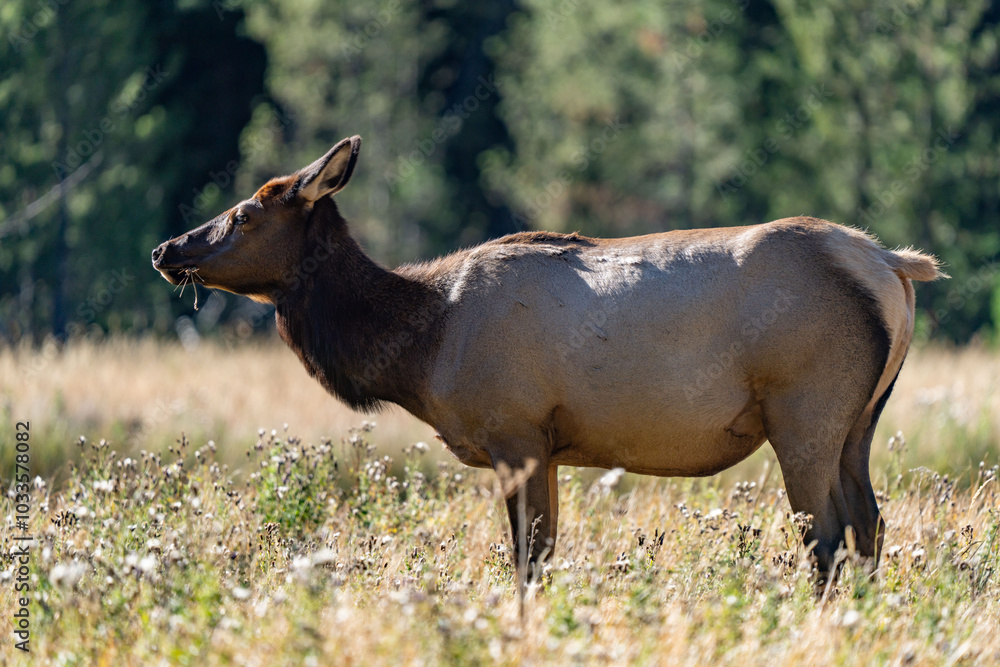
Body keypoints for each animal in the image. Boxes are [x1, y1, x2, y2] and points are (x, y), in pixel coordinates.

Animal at [152, 135, 944, 584]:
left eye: (245, 213)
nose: (167, 248)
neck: (423, 347)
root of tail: (892, 265)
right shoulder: (550, 446)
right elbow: (545, 556)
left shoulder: (516, 431)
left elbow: (527, 563)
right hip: (860, 421)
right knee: (871, 528)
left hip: (804, 409)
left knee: (828, 540)